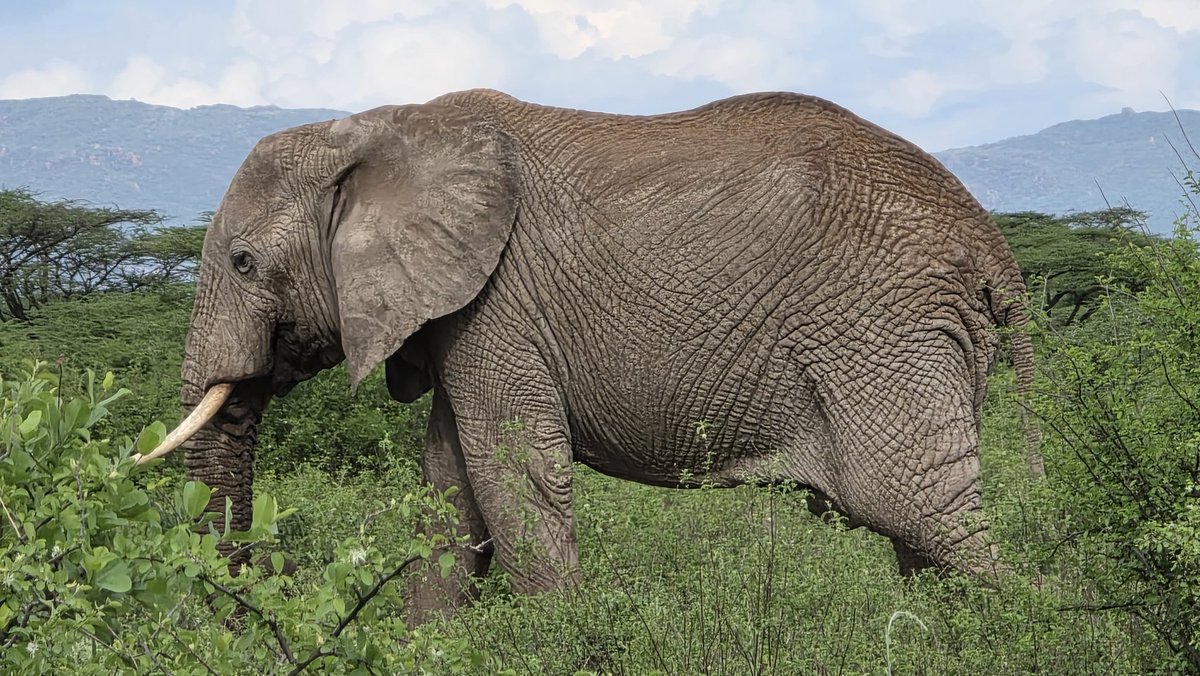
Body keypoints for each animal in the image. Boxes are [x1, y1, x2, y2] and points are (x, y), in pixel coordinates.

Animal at [141, 89, 1038, 620]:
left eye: (243, 263)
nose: (266, 593)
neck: (381, 126)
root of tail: (989, 241)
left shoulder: (498, 302)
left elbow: (513, 471)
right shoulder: (465, 313)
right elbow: (450, 481)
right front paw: (429, 644)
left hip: (880, 331)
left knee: (922, 513)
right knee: (924, 536)